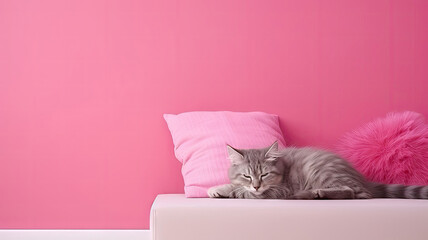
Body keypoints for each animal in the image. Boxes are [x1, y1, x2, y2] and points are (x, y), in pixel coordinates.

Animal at [209, 142, 428, 200]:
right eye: (247, 175)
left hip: (321, 171)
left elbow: (242, 192)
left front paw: (221, 189)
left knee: (354, 192)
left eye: (264, 175)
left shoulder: (280, 190)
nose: (256, 186)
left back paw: (316, 193)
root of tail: (363, 180)